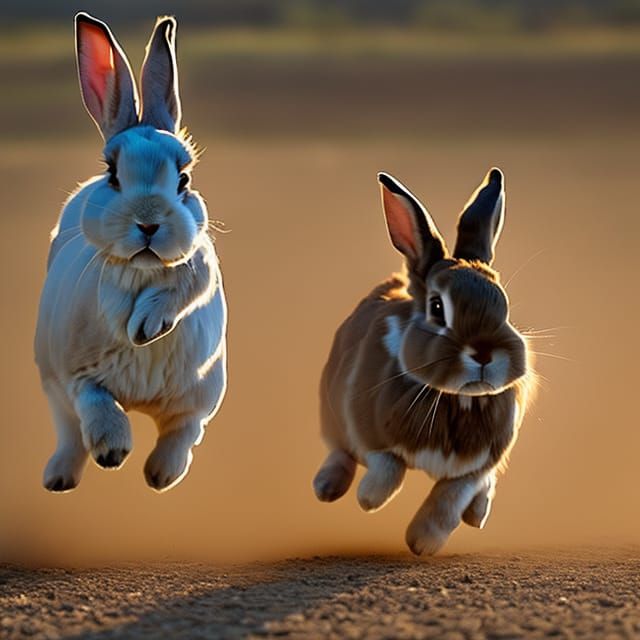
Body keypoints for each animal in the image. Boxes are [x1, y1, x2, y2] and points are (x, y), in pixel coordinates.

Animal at [34, 13, 227, 493]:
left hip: (201, 389)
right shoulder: (79, 375)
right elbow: (96, 401)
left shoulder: (200, 269)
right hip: (54, 384)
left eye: (183, 178)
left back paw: (160, 474)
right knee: (71, 431)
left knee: (183, 430)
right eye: (113, 174)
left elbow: (186, 287)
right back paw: (60, 476)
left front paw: (147, 325)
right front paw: (113, 451)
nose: (149, 222)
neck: (143, 269)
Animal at [313, 168, 534, 555]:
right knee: (340, 450)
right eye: (436, 306)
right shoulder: (368, 433)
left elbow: (452, 495)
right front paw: (369, 499)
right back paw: (326, 487)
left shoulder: (476, 466)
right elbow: (388, 466)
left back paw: (477, 514)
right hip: (331, 411)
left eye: (503, 303)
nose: (484, 352)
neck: (455, 399)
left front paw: (422, 541)